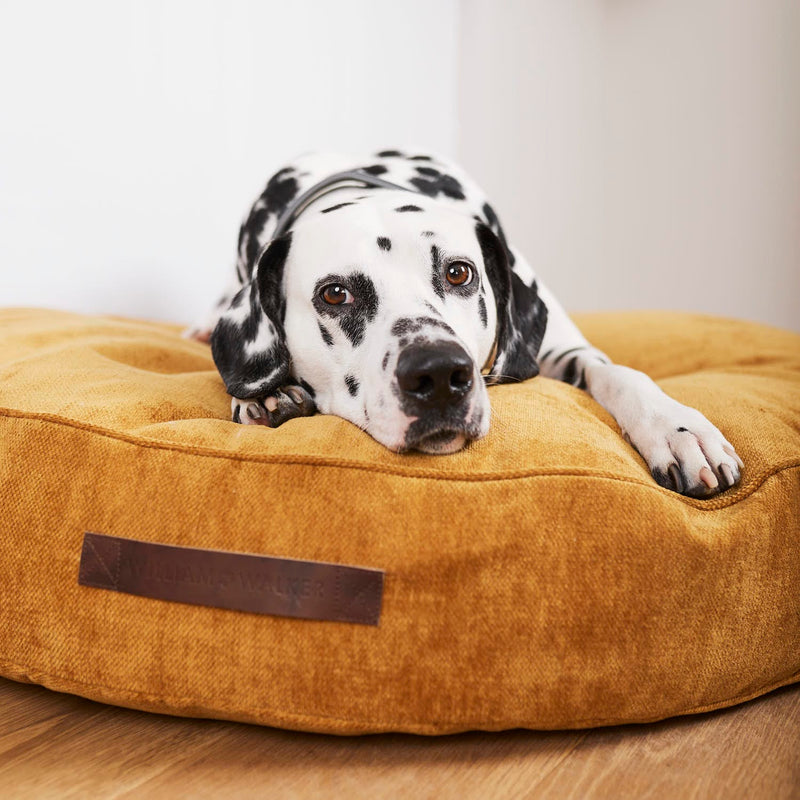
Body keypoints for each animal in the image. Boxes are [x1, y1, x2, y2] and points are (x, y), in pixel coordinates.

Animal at [188, 145, 744, 494]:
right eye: (335, 293)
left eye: (459, 272)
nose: (437, 375)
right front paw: (266, 393)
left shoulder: (563, 350)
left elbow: (620, 374)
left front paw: (678, 429)